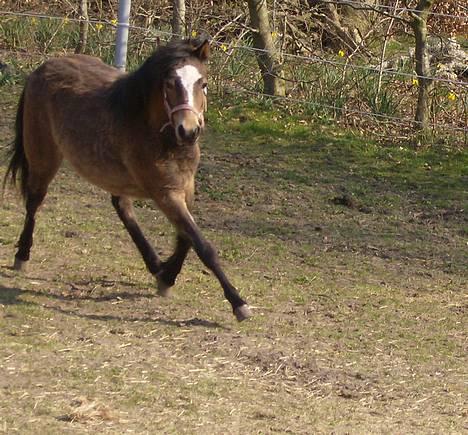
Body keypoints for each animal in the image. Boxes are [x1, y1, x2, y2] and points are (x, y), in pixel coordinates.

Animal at [2, 37, 252, 322]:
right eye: (169, 84)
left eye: (203, 83)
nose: (189, 131)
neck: (158, 135)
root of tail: (41, 68)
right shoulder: (165, 193)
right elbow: (201, 244)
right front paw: (238, 303)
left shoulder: (185, 189)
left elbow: (186, 238)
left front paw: (167, 276)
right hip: (44, 158)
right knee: (34, 202)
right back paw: (22, 255)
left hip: (115, 177)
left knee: (123, 209)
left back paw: (155, 265)